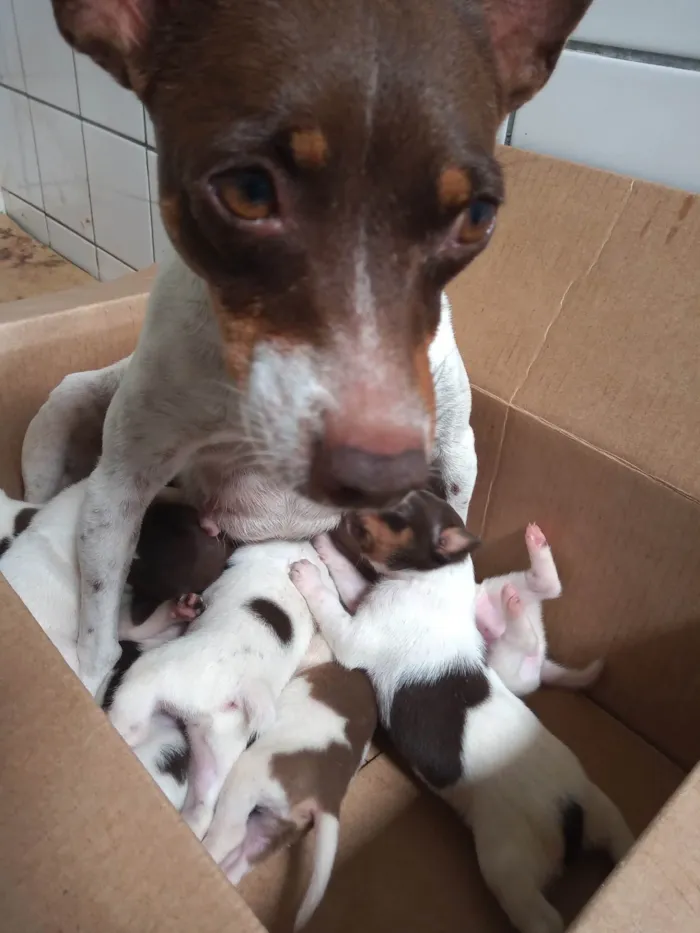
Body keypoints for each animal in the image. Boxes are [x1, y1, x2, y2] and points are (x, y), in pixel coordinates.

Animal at [28, 0, 592, 692]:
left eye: (478, 216)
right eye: (248, 190)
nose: (373, 474)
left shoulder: (456, 451)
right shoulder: (122, 484)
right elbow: (99, 629)